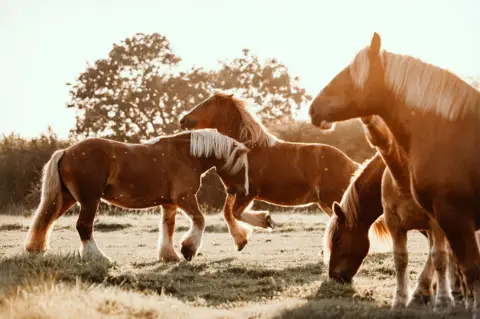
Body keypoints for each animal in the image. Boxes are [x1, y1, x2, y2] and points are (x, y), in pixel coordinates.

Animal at [25, 129, 251, 264]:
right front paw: (188, 249)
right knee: (83, 226)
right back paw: (98, 257)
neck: (185, 155)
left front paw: (169, 256)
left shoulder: (169, 204)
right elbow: (199, 220)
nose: (242, 191)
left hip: (67, 199)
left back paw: (36, 249)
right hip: (90, 200)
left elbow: (168, 227)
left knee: (46, 220)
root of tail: (66, 151)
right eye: (242, 167)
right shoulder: (185, 198)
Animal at [180, 91, 360, 251]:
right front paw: (241, 241)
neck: (246, 150)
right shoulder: (233, 190)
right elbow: (227, 213)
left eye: (207, 103)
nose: (183, 120)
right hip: (326, 202)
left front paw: (265, 221)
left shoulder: (248, 193)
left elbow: (236, 213)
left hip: (333, 199)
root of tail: (351, 164)